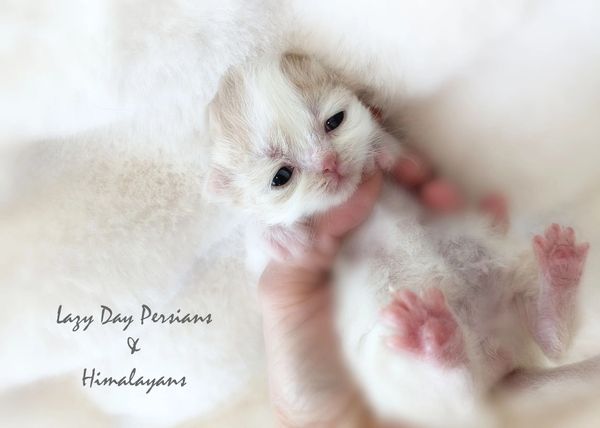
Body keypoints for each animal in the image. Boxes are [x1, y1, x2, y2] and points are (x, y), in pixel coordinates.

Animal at [204, 52, 589, 427]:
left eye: (334, 121)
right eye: (281, 176)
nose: (330, 162)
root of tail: (497, 367)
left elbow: (396, 152)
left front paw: (382, 149)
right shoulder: (264, 262)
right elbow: (260, 242)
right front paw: (281, 237)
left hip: (490, 255)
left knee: (547, 341)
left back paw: (556, 278)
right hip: (391, 358)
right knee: (459, 395)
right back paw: (436, 342)